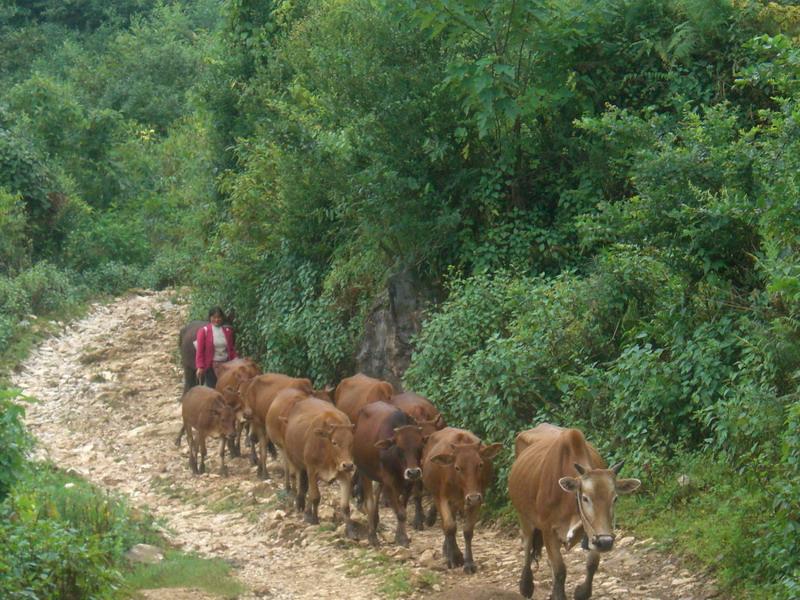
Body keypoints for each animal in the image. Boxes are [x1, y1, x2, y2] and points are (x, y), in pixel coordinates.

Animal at [282, 398, 356, 540]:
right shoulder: (311, 470)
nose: (348, 465)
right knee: (302, 486)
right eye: (334, 442)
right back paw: (301, 506)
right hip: (296, 463)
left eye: (351, 443)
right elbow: (315, 496)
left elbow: (345, 506)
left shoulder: (345, 475)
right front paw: (314, 519)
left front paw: (350, 530)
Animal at [354, 400, 428, 548]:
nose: (413, 472)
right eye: (400, 448)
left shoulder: (408, 483)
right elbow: (399, 512)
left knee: (377, 494)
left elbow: (402, 509)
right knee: (370, 501)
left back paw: (376, 520)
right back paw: (372, 536)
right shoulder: (389, 481)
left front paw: (400, 536)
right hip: (364, 472)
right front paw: (403, 538)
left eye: (420, 447)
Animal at [418, 426, 500, 572]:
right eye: (457, 467)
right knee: (447, 525)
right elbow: (449, 527)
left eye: (480, 464)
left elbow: (467, 530)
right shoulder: (442, 498)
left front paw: (469, 562)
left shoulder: (477, 499)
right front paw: (454, 558)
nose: (473, 497)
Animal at [510, 424, 640, 596]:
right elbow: (560, 570)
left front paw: (580, 592)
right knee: (526, 545)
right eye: (585, 498)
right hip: (524, 517)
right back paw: (526, 585)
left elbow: (592, 564)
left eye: (615, 499)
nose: (606, 542)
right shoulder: (548, 530)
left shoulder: (593, 531)